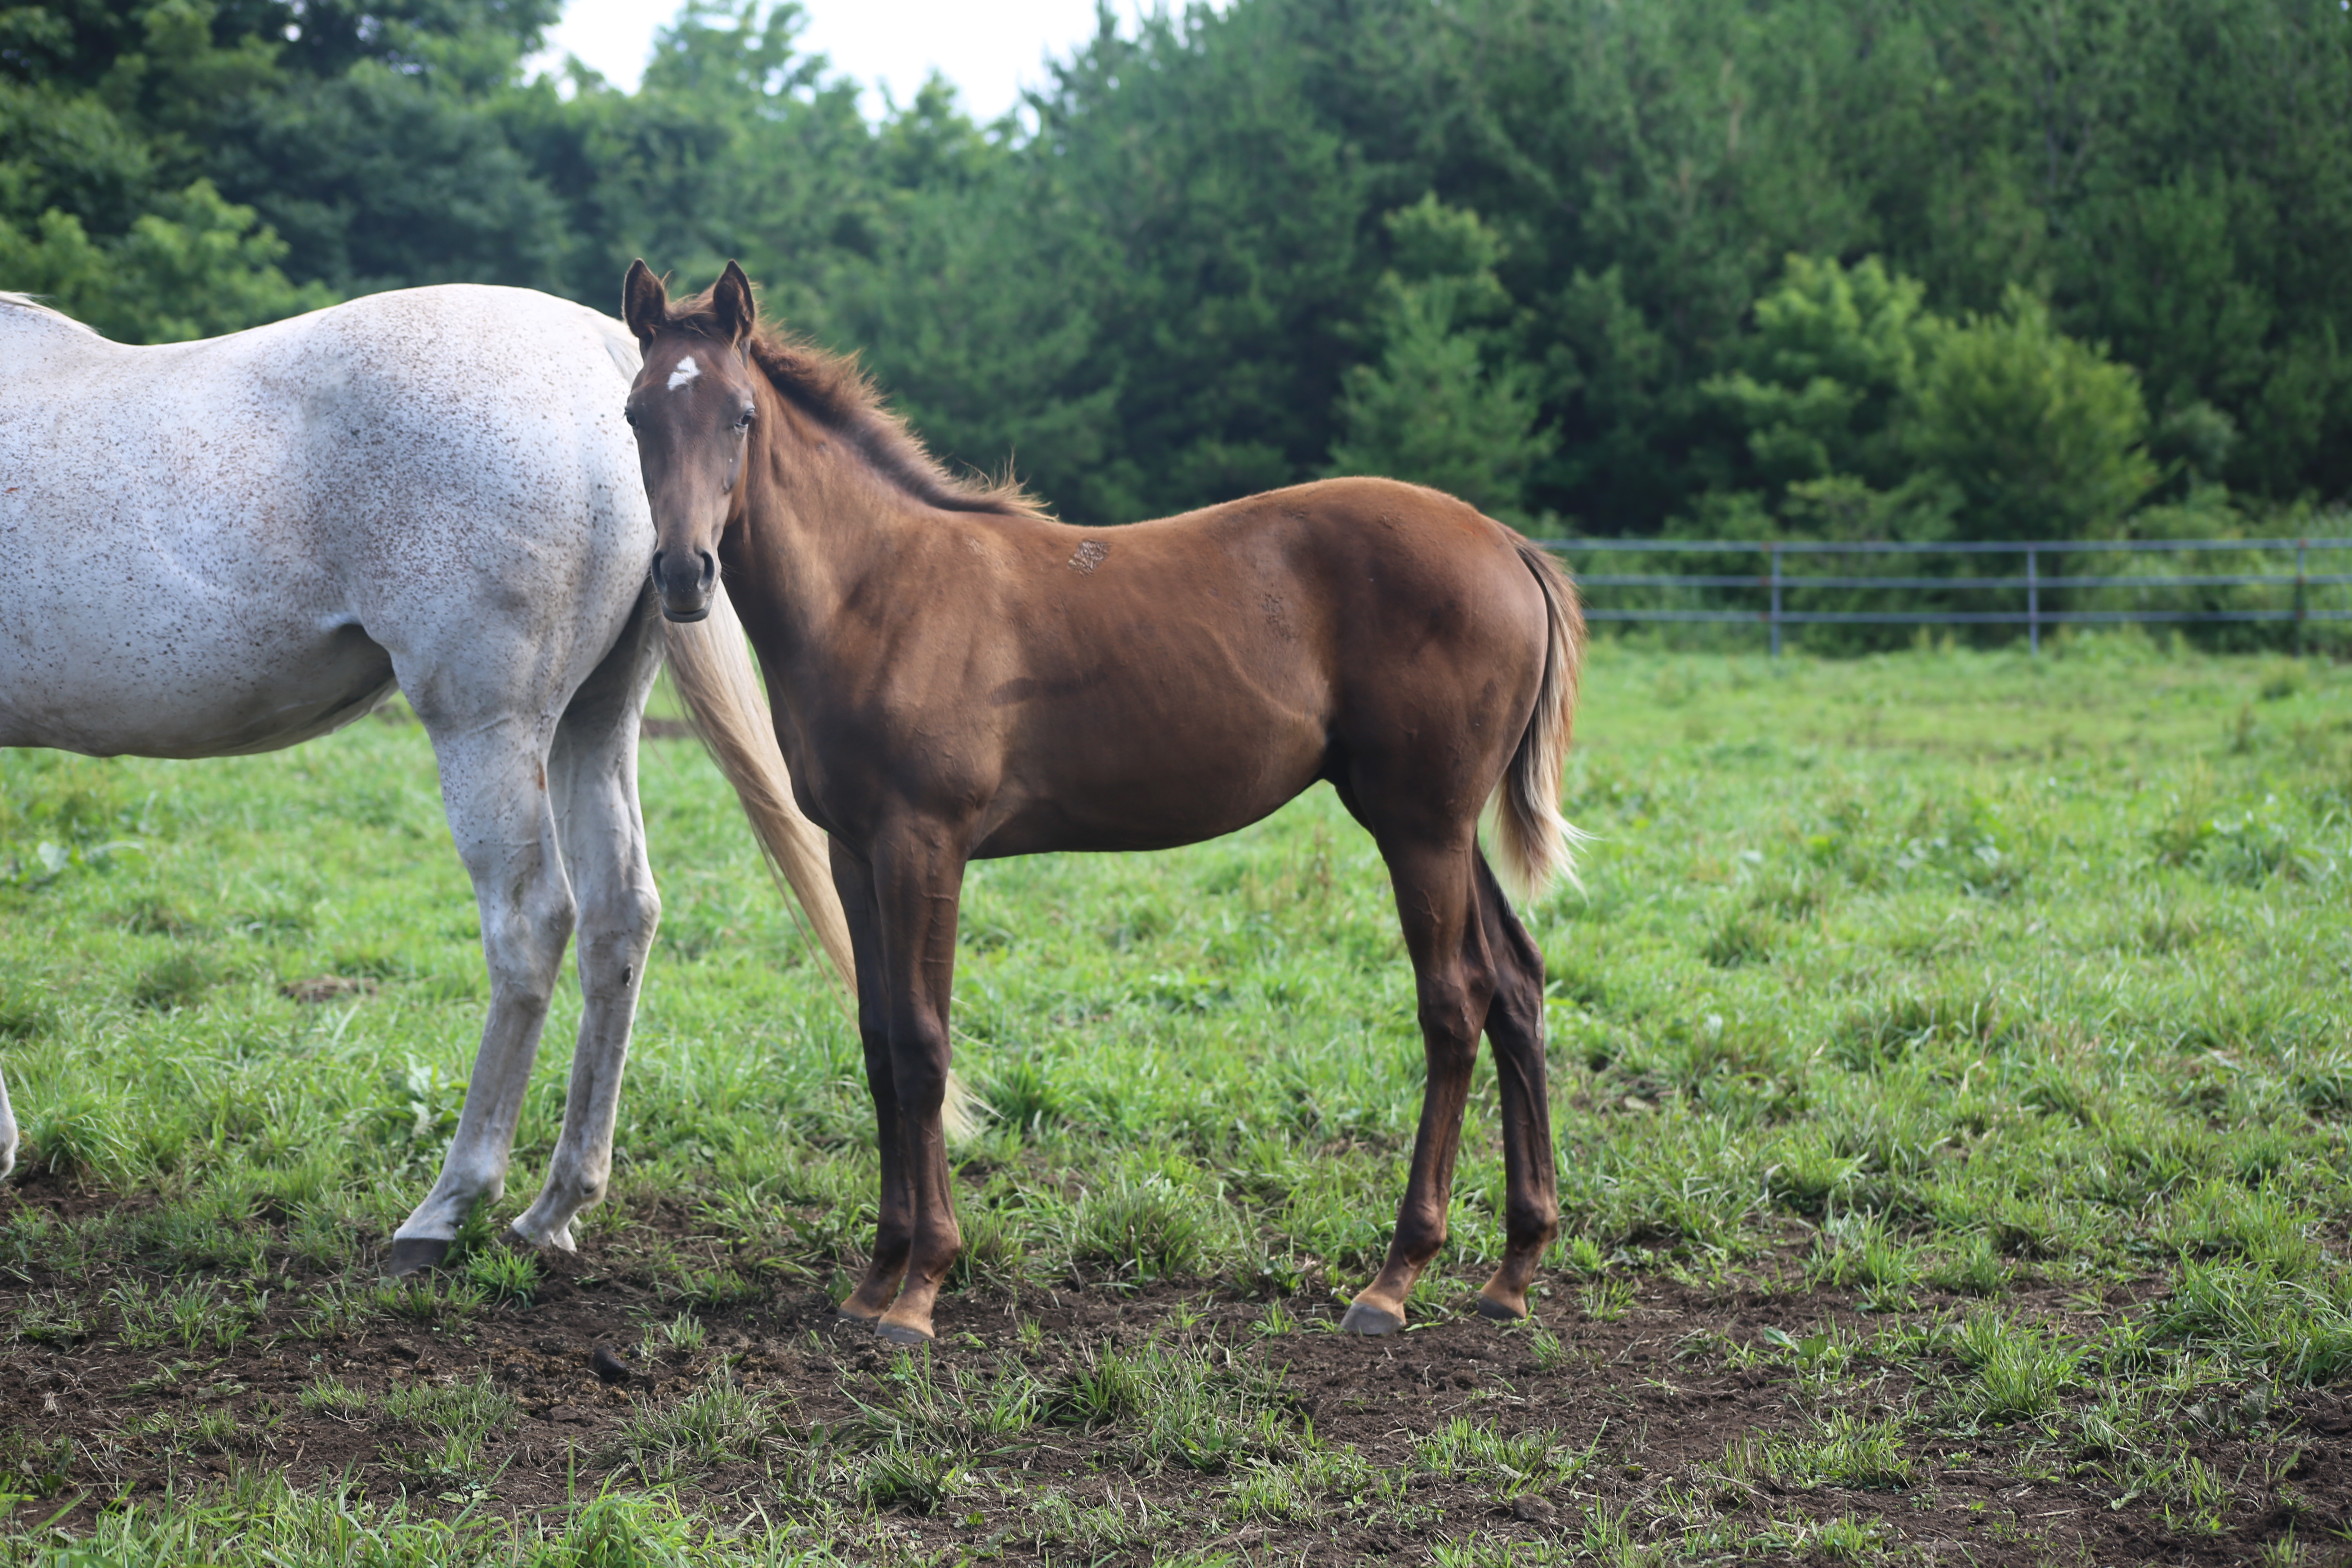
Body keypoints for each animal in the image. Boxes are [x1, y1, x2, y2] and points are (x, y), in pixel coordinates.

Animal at [0, 288, 846, 1278]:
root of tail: (596, 343)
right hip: (594, 724)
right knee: (619, 917)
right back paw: (555, 1207)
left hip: (487, 731)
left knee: (531, 927)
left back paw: (447, 1209)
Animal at [616, 263, 1590, 1345]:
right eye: (634, 415)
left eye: (741, 415)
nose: (684, 574)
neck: (877, 589)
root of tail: (1505, 545)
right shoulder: (854, 853)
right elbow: (876, 1042)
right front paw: (873, 1276)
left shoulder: (925, 843)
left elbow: (923, 1044)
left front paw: (920, 1287)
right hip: (1442, 826)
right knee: (1515, 985)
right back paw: (1513, 1266)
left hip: (1419, 825)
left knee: (1453, 1004)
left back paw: (1395, 1276)